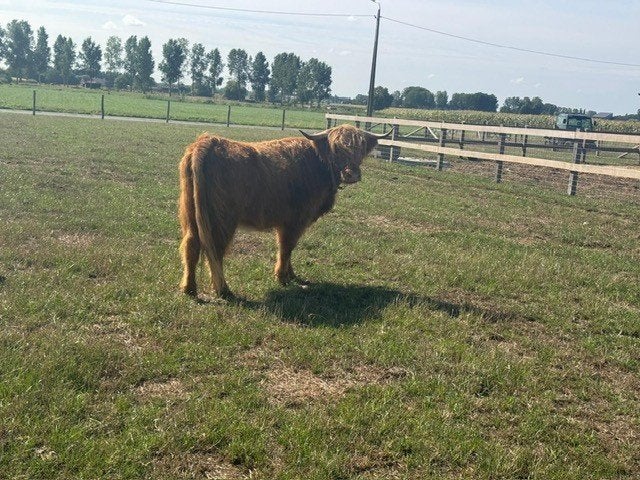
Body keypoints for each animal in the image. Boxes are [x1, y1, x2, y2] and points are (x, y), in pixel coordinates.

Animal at [178, 124, 391, 299]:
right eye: (336, 148)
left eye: (361, 149)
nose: (352, 174)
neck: (318, 164)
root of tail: (207, 142)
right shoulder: (295, 220)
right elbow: (287, 247)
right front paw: (282, 277)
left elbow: (289, 249)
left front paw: (291, 274)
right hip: (221, 219)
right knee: (215, 250)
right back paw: (223, 290)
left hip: (191, 214)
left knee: (191, 245)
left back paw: (189, 288)